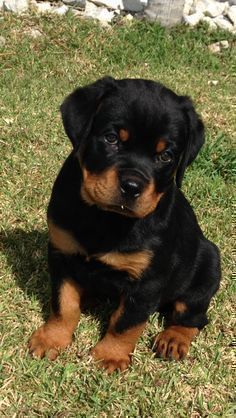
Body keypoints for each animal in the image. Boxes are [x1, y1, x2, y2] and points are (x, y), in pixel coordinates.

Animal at [28, 77, 220, 372]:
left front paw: (110, 355)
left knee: (193, 316)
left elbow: (126, 322)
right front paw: (52, 339)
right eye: (111, 139)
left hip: (208, 266)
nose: (131, 186)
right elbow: (64, 304)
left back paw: (173, 339)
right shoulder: (61, 254)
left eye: (166, 156)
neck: (106, 218)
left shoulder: (148, 280)